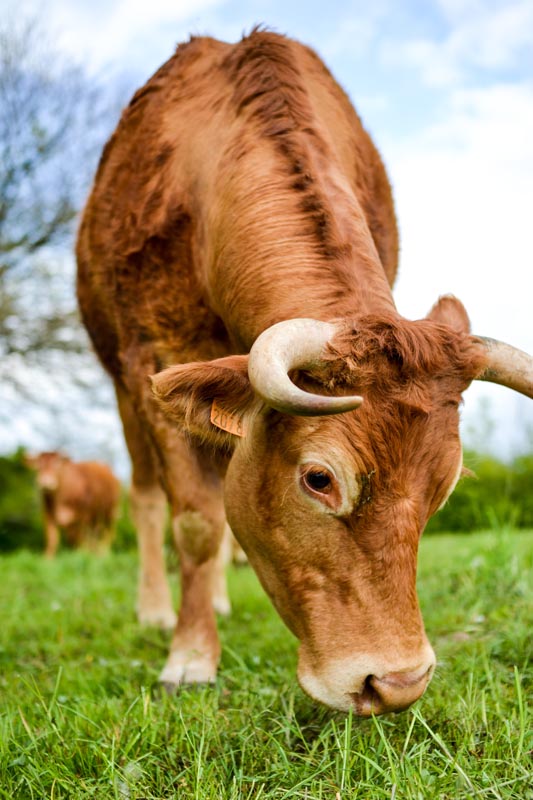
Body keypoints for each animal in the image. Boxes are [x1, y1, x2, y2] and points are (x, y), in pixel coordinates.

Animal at [76, 31, 532, 716]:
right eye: (319, 479)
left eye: (445, 486)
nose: (397, 684)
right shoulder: (149, 358)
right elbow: (196, 521)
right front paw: (189, 658)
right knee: (151, 498)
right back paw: (159, 609)